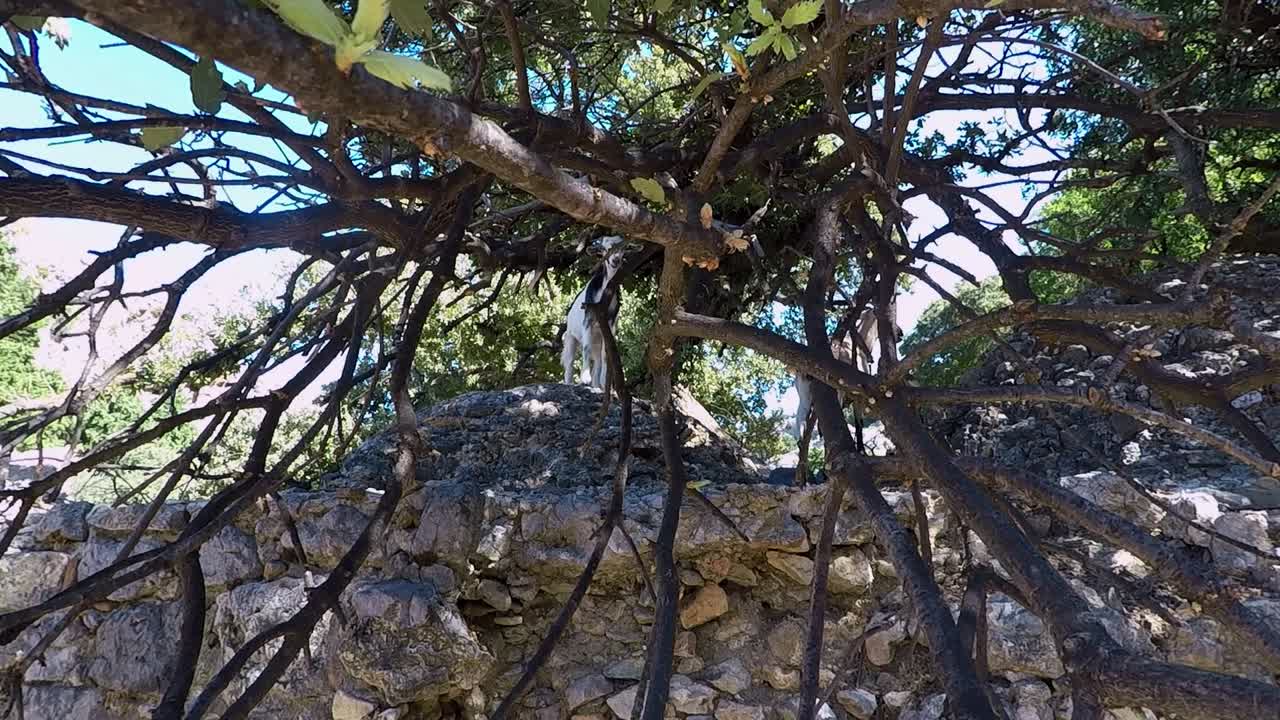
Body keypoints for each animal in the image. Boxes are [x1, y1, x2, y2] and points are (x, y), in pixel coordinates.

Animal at [561, 237, 625, 390]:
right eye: (604, 248)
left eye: (623, 248)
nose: (615, 260)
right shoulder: (588, 321)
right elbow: (586, 348)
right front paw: (585, 378)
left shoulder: (610, 326)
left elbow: (605, 355)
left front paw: (603, 382)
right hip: (570, 337)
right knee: (569, 363)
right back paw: (569, 383)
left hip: (597, 340)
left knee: (597, 362)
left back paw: (597, 385)